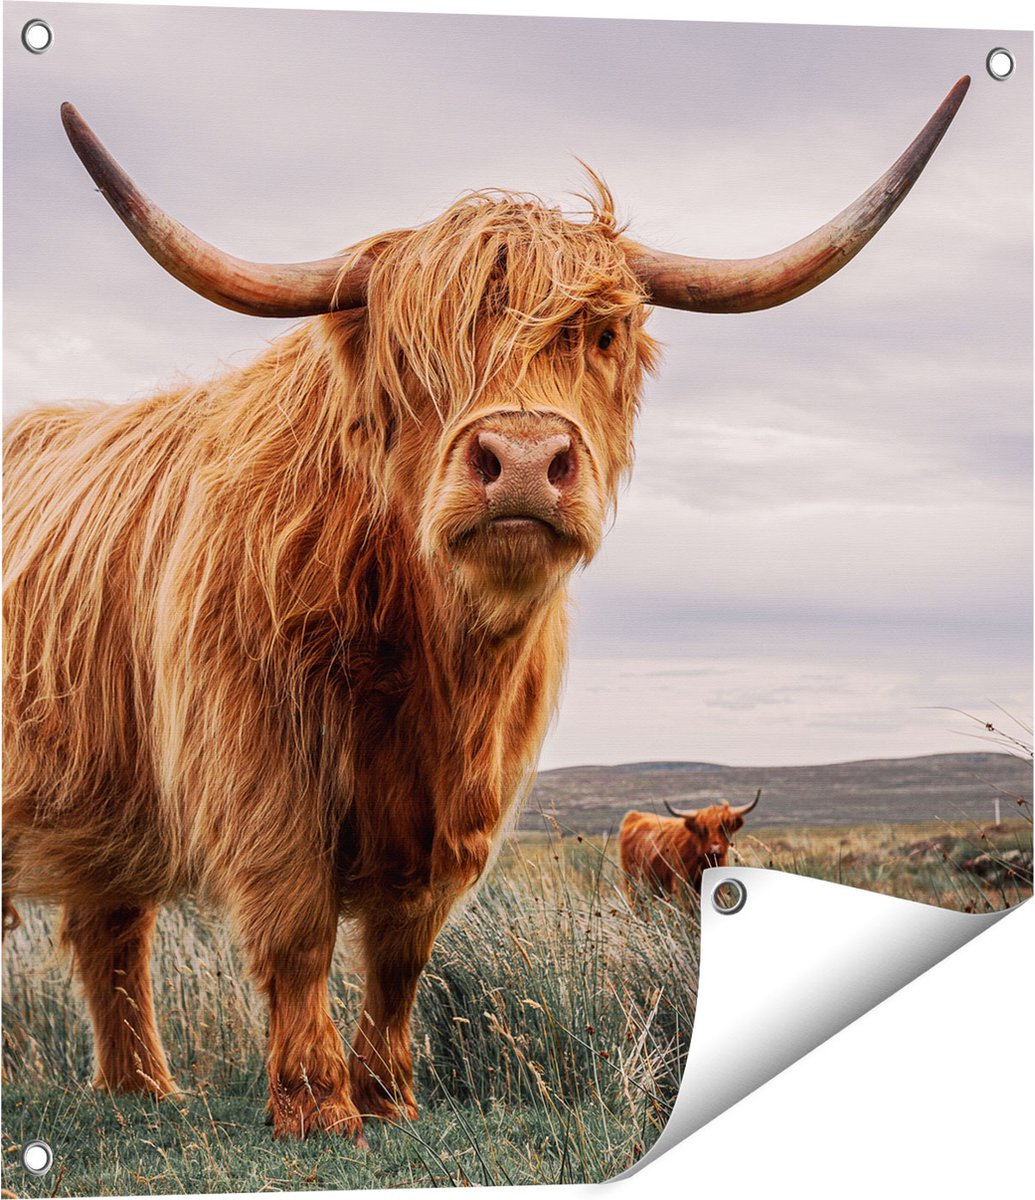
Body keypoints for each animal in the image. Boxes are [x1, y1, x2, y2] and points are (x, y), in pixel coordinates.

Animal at [619, 790, 762, 898]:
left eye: (725, 827)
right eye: (702, 829)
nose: (715, 849)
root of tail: (634, 815)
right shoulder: (682, 887)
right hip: (632, 882)